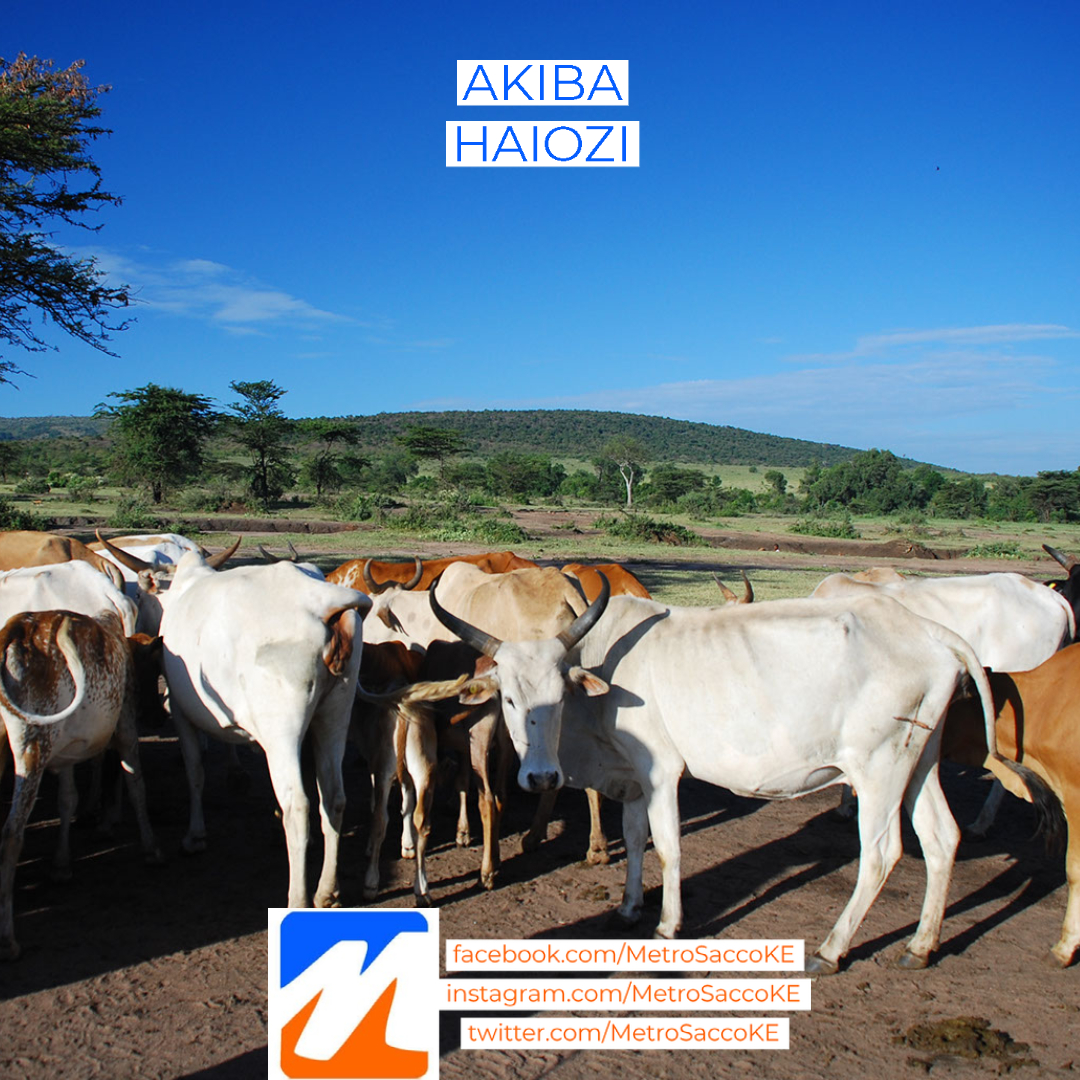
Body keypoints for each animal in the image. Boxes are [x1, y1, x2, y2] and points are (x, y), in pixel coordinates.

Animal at [0, 609, 163, 960]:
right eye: (156, 668)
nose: (159, 716)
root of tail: (15, 630)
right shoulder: (125, 726)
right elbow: (136, 786)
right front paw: (151, 847)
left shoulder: (66, 752)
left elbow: (68, 799)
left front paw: (61, 865)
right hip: (33, 745)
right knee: (11, 835)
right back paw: (8, 939)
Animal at [158, 554, 370, 908]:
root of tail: (322, 600)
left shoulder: (179, 708)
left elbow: (195, 772)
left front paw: (194, 835)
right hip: (337, 710)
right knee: (334, 796)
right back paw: (327, 891)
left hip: (281, 722)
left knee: (297, 805)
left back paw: (297, 899)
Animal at [428, 578, 1056, 974]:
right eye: (509, 698)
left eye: (558, 696)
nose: (539, 778)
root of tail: (928, 631)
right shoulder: (631, 778)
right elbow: (633, 838)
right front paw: (629, 907)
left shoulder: (662, 772)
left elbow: (668, 848)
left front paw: (667, 924)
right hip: (917, 760)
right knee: (942, 838)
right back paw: (922, 946)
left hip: (878, 769)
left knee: (882, 853)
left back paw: (831, 949)